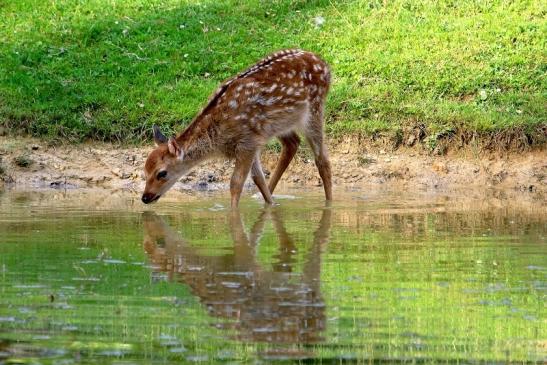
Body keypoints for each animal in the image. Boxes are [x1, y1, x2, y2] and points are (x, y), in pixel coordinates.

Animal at [141, 49, 332, 206]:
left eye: (162, 173)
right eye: (145, 171)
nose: (145, 197)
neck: (218, 138)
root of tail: (325, 65)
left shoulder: (247, 142)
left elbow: (236, 183)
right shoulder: (252, 142)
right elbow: (257, 178)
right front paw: (270, 205)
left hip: (314, 110)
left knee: (322, 159)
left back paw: (328, 203)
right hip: (281, 124)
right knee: (292, 143)